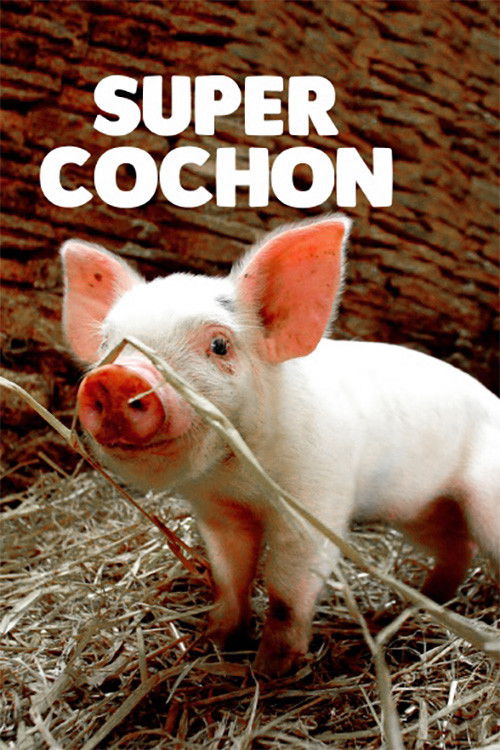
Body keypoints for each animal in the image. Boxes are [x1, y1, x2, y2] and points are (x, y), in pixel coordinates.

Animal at [60, 216, 500, 676]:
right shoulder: (217, 510)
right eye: (107, 344)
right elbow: (230, 577)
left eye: (219, 345)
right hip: (421, 510)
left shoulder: (315, 500)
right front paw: (213, 641)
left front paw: (271, 669)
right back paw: (416, 603)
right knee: (458, 547)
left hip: (484, 496)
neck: (237, 475)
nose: (116, 379)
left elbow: (288, 588)